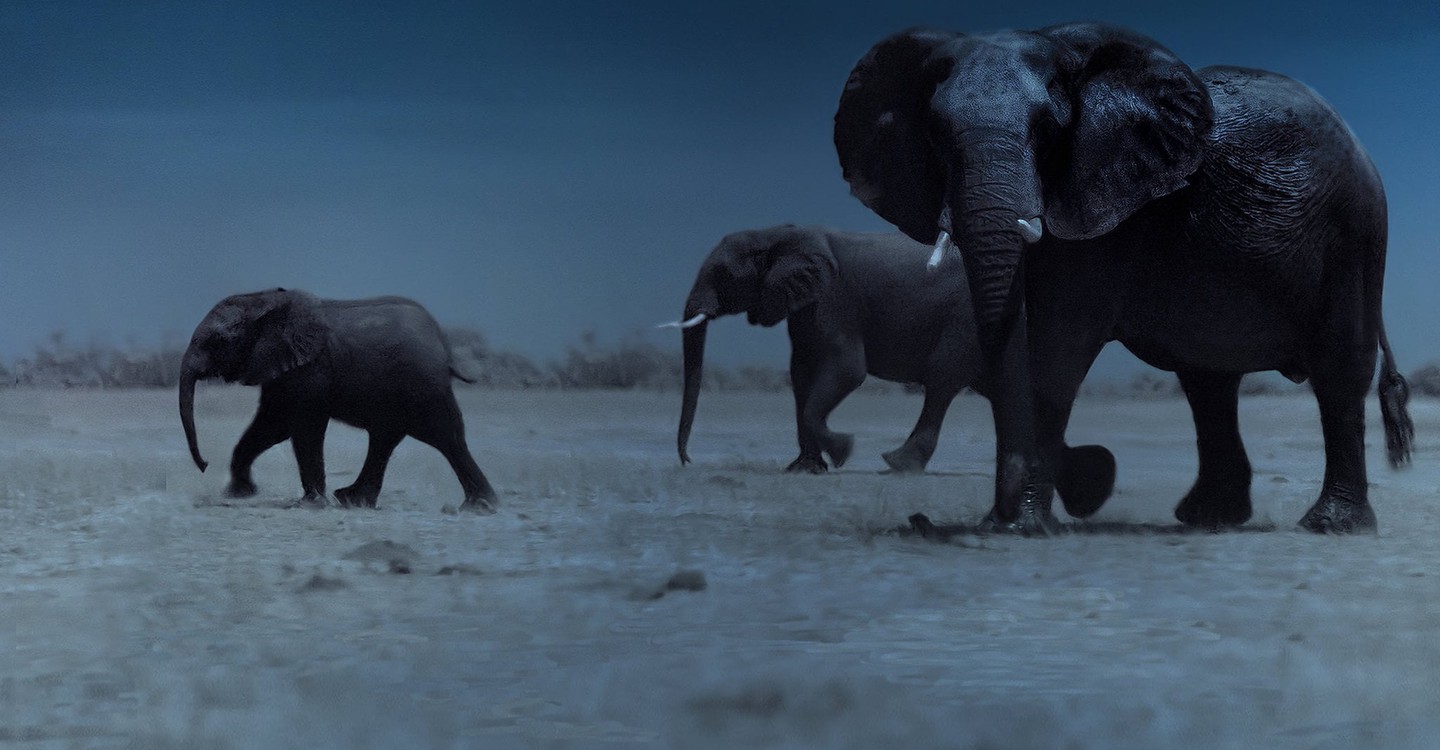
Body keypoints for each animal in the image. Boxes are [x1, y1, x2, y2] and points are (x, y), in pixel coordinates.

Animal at [175, 286, 495, 509]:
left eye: (218, 341)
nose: (204, 465)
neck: (264, 300)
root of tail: (443, 342)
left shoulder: (311, 368)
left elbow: (303, 428)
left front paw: (310, 505)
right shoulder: (284, 369)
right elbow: (272, 425)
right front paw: (239, 494)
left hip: (424, 385)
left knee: (445, 436)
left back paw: (478, 507)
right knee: (387, 438)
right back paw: (353, 501)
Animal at [671, 221, 1111, 512]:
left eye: (723, 273)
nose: (687, 462)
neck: (778, 234)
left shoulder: (835, 300)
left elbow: (847, 370)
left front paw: (843, 452)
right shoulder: (805, 304)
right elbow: (800, 374)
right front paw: (802, 470)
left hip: (965, 320)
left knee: (942, 379)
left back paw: (898, 464)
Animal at [840, 18, 1411, 532]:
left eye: (1047, 130)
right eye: (934, 134)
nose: (923, 521)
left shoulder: (1107, 207)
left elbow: (1057, 348)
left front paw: (1022, 526)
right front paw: (1012, 519)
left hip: (1355, 235)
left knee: (1339, 371)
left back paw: (1330, 525)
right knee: (1208, 382)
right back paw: (1208, 519)